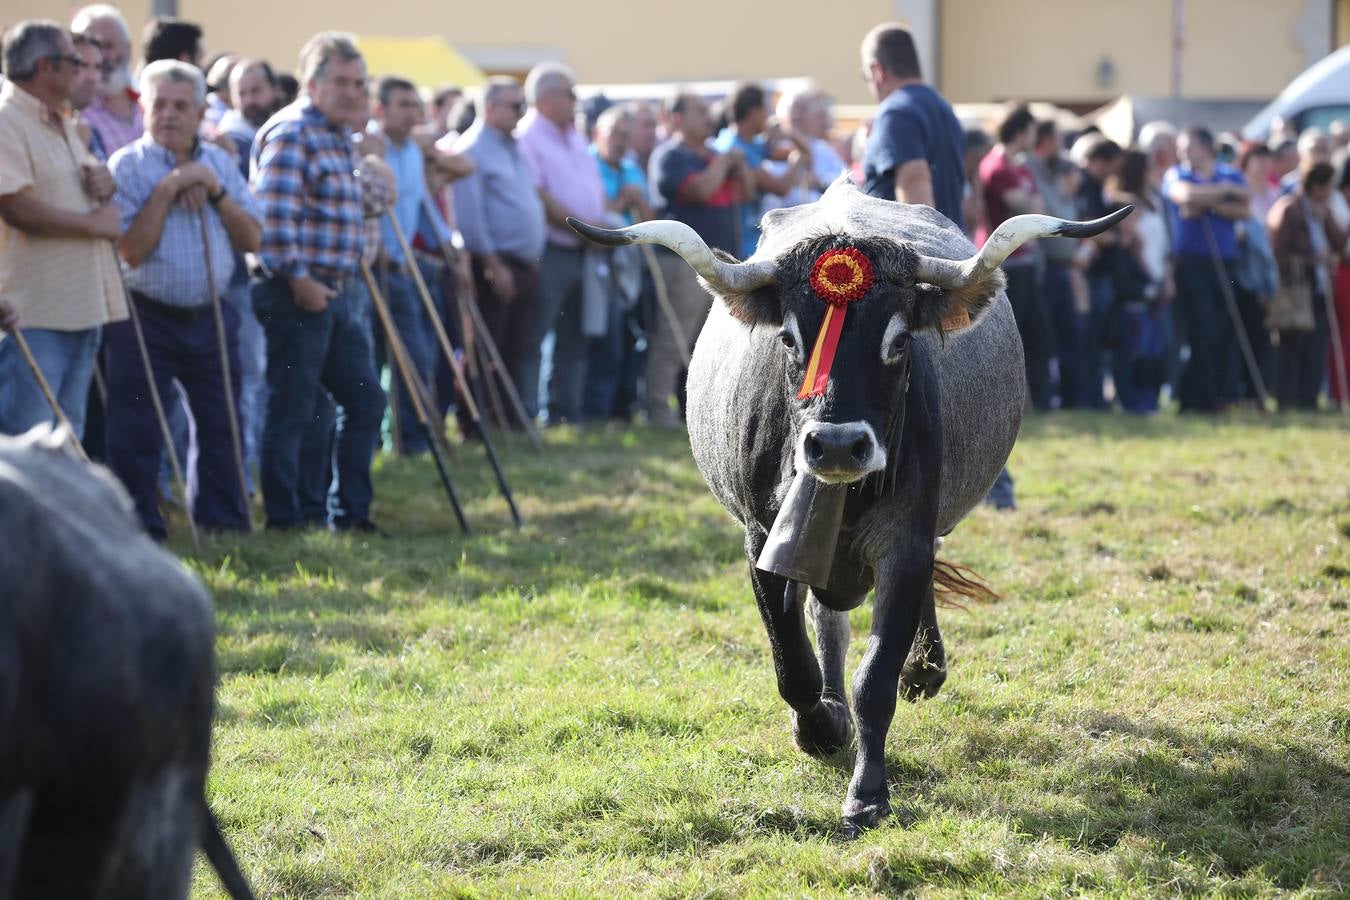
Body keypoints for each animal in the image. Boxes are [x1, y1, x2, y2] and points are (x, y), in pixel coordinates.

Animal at [569, 180, 1128, 836]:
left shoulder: (905, 543)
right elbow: (793, 664)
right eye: (789, 338)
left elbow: (876, 680)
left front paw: (868, 792)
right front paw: (820, 727)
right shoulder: (764, 540)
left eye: (898, 340)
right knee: (824, 621)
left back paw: (924, 668)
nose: (836, 445)